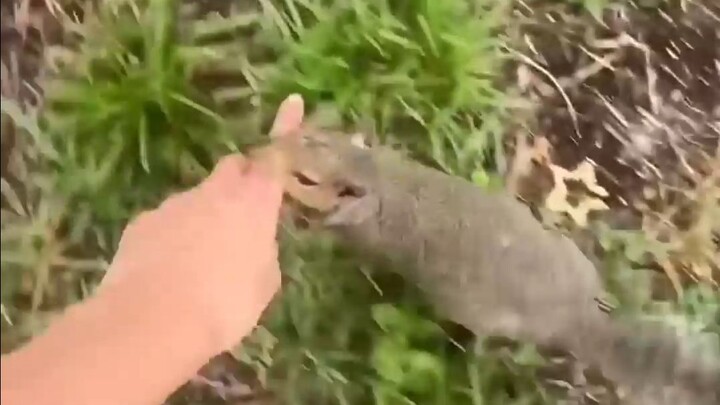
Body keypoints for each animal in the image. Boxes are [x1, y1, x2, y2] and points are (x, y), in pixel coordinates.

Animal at [251, 128, 720, 405]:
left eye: (307, 179)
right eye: (317, 133)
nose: (272, 143)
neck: (381, 179)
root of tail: (574, 316)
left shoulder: (363, 231)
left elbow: (335, 236)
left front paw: (298, 226)